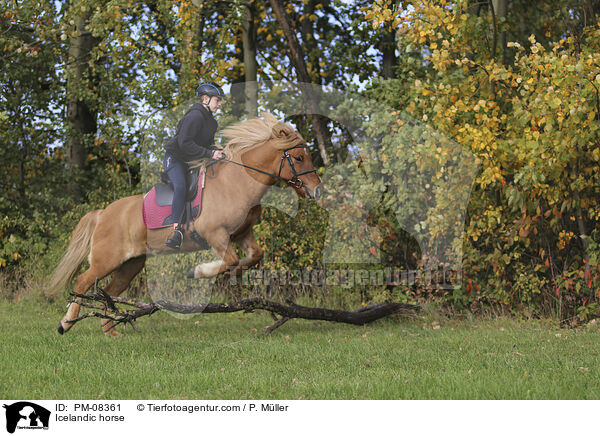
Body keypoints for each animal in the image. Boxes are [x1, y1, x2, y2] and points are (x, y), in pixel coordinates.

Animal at [47, 112, 324, 334]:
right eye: (298, 158)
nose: (317, 191)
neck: (238, 183)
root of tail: (103, 213)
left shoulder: (243, 233)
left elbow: (253, 256)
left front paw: (230, 273)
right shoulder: (215, 234)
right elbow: (231, 260)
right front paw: (198, 271)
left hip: (130, 264)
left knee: (110, 289)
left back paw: (112, 331)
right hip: (107, 259)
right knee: (83, 281)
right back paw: (65, 324)